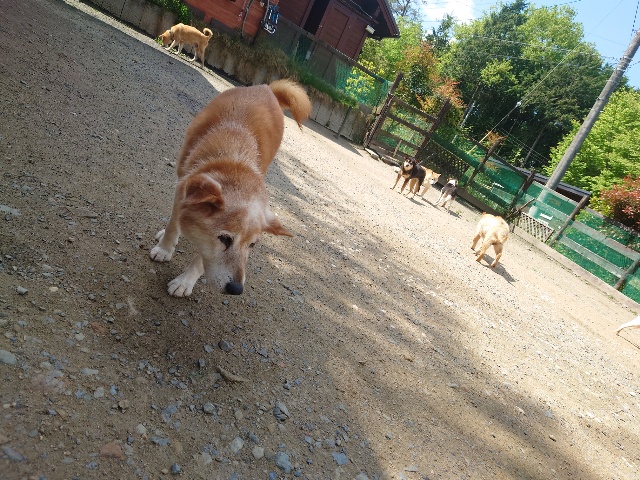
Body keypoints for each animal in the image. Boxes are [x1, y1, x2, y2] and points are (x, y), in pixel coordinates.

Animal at [150, 80, 311, 296]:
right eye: (225, 239)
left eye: (252, 245)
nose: (236, 289)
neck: (235, 161)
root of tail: (265, 88)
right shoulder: (181, 191)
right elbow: (172, 226)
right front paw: (164, 249)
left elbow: (201, 260)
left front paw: (185, 281)